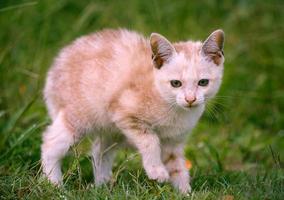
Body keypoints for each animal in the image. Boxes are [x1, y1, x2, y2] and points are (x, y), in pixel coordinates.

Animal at [41, 28, 225, 194]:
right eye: (176, 83)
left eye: (203, 82)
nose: (190, 99)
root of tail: (58, 62)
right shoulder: (124, 112)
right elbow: (150, 140)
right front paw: (156, 171)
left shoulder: (173, 141)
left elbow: (177, 166)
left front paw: (184, 192)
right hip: (79, 117)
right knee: (50, 143)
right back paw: (55, 185)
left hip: (111, 131)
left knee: (100, 151)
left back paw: (103, 186)